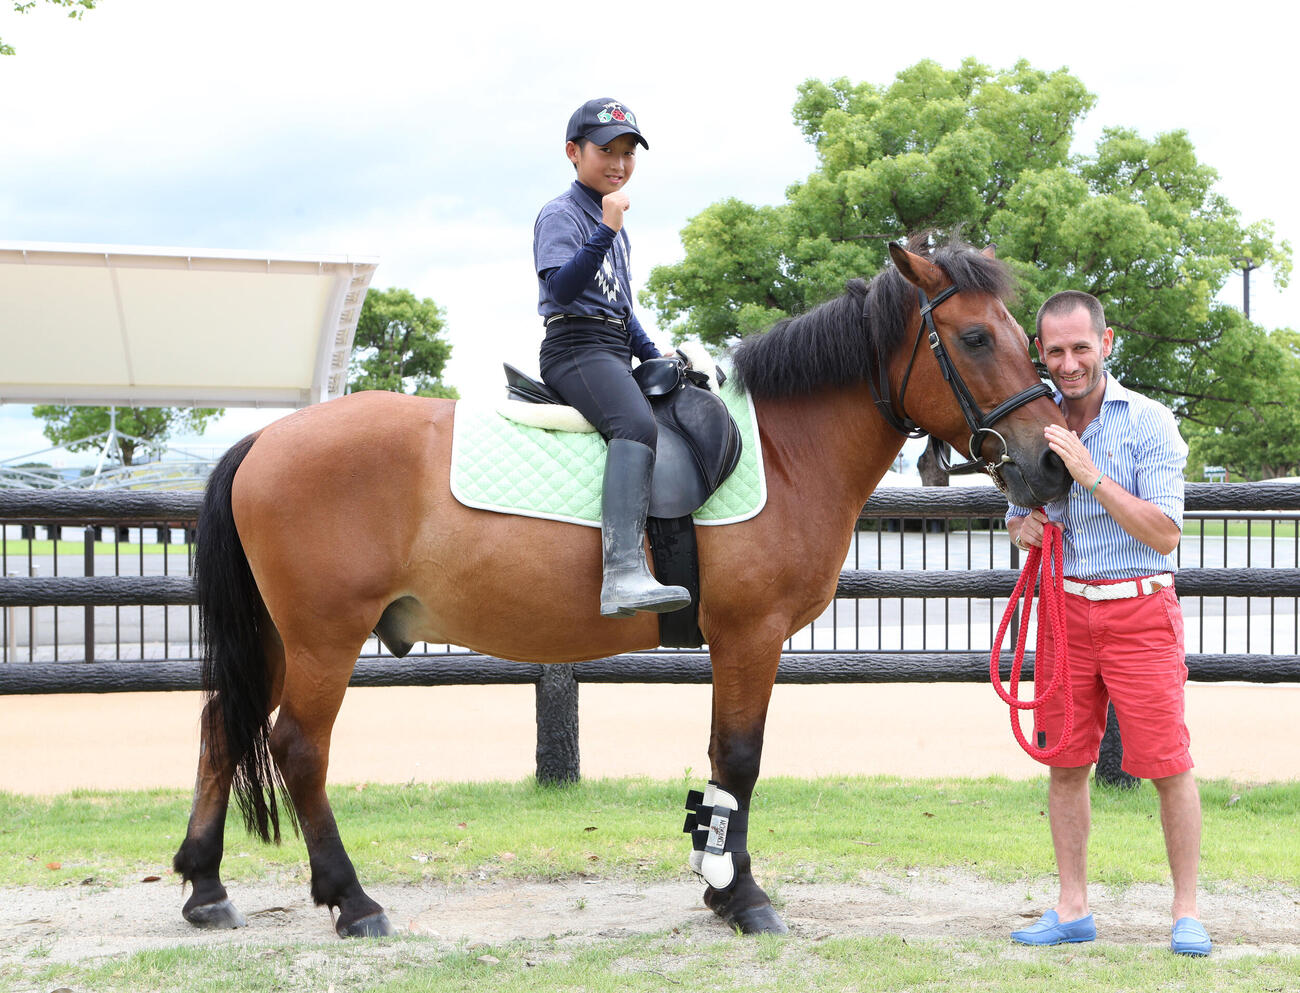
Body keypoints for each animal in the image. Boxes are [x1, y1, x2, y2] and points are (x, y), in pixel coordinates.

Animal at [172, 237, 1072, 938]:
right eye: (974, 337)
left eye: (1020, 334)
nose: (1054, 462)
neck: (785, 449)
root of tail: (263, 440)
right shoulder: (751, 634)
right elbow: (739, 759)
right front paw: (742, 896)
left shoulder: (740, 642)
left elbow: (723, 762)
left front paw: (721, 885)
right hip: (324, 637)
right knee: (297, 746)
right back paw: (352, 899)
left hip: (283, 637)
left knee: (223, 726)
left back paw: (206, 884)